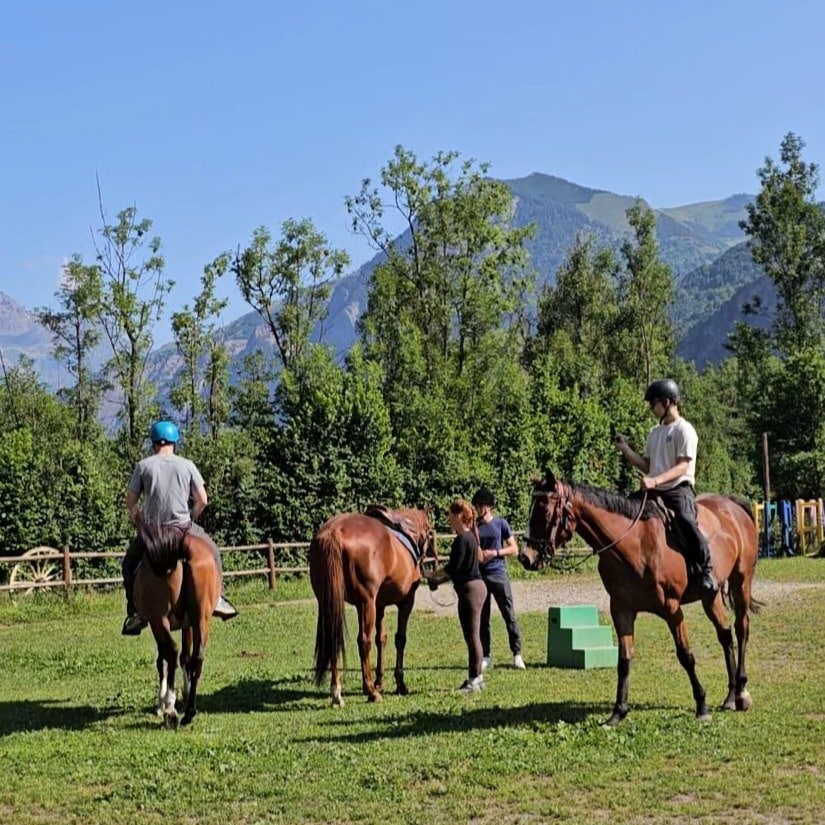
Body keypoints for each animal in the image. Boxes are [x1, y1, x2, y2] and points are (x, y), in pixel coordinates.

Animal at [133, 521, 221, 728]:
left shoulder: (156, 623)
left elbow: (163, 659)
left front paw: (162, 703)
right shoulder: (187, 624)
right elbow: (185, 657)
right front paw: (185, 693)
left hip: (159, 619)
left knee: (171, 652)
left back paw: (170, 709)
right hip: (202, 618)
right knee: (197, 657)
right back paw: (189, 712)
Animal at [309, 506, 437, 707]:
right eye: (430, 532)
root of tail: (333, 532)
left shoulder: (379, 605)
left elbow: (381, 639)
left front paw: (379, 681)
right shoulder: (405, 602)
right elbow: (400, 639)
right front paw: (399, 684)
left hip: (329, 602)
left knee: (333, 641)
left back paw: (338, 692)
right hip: (366, 603)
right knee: (364, 642)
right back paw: (371, 692)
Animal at [519, 470, 759, 726]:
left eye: (544, 511)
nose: (525, 557)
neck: (635, 544)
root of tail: (733, 506)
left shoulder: (672, 609)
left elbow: (686, 655)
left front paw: (702, 706)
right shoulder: (622, 609)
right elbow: (624, 660)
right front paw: (618, 712)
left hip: (741, 582)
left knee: (742, 629)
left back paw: (742, 693)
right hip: (710, 596)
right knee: (725, 635)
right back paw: (731, 696)